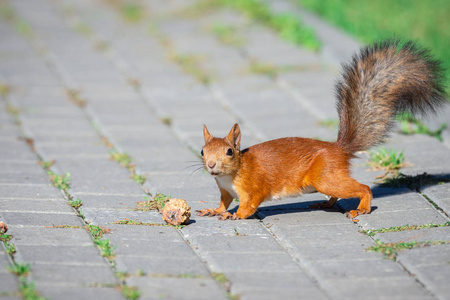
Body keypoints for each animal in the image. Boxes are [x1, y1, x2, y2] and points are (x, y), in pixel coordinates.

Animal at [197, 39, 446, 219]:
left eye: (230, 151)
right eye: (202, 151)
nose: (211, 165)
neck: (232, 174)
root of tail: (340, 149)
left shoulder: (254, 187)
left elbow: (248, 206)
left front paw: (235, 216)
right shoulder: (225, 191)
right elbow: (223, 203)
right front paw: (213, 210)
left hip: (325, 177)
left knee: (363, 188)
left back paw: (362, 207)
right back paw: (326, 202)